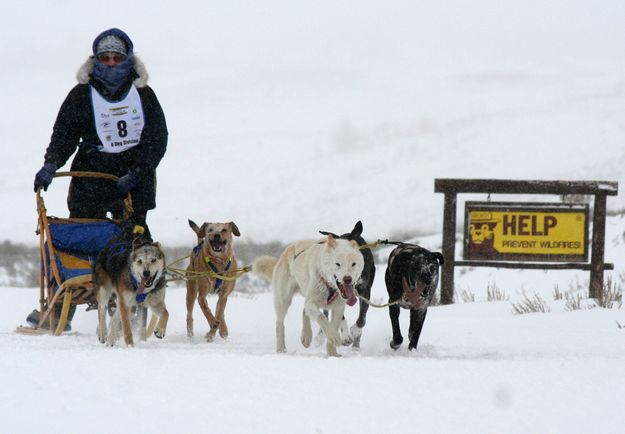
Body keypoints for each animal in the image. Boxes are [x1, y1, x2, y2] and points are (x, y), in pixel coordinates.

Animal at [320, 220, 372, 350]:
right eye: (337, 262)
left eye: (353, 261)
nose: (347, 279)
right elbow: (340, 317)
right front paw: (346, 336)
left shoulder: (365, 291)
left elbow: (362, 319)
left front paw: (355, 331)